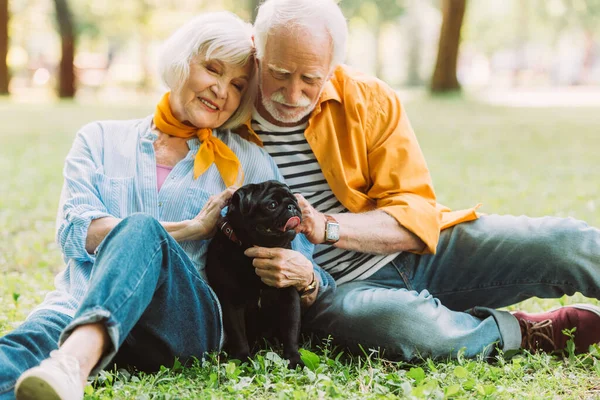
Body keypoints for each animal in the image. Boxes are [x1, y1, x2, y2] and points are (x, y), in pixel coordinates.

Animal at [209, 180, 304, 368]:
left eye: (295, 200)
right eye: (272, 205)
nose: (292, 206)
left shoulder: (289, 297)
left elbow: (291, 330)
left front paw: (294, 359)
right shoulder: (232, 301)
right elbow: (238, 334)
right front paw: (243, 358)